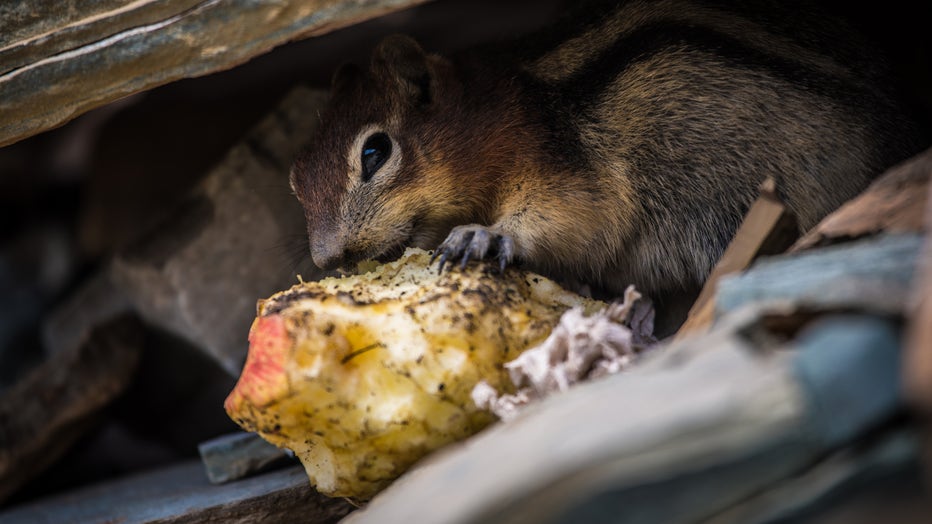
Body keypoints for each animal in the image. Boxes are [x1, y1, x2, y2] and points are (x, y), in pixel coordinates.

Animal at [294, 0, 924, 320]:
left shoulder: (559, 166)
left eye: (375, 152)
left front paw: (484, 234)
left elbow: (572, 214)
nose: (328, 258)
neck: (489, 113)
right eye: (297, 183)